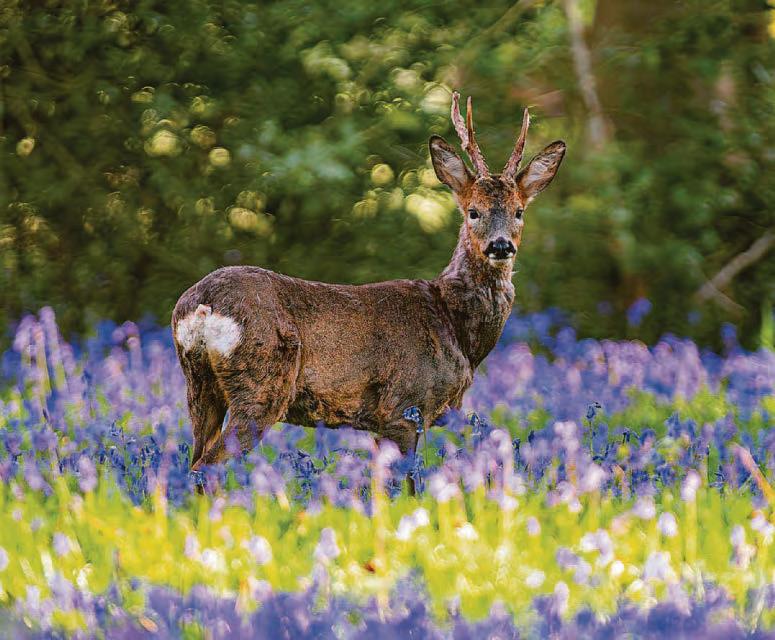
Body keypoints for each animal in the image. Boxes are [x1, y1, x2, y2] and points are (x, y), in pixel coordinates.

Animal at [172, 91, 565, 489]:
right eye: (473, 211)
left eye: (518, 212)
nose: (501, 246)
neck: (455, 326)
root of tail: (200, 307)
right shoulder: (404, 406)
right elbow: (406, 486)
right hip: (260, 385)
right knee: (205, 466)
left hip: (201, 387)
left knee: (194, 459)